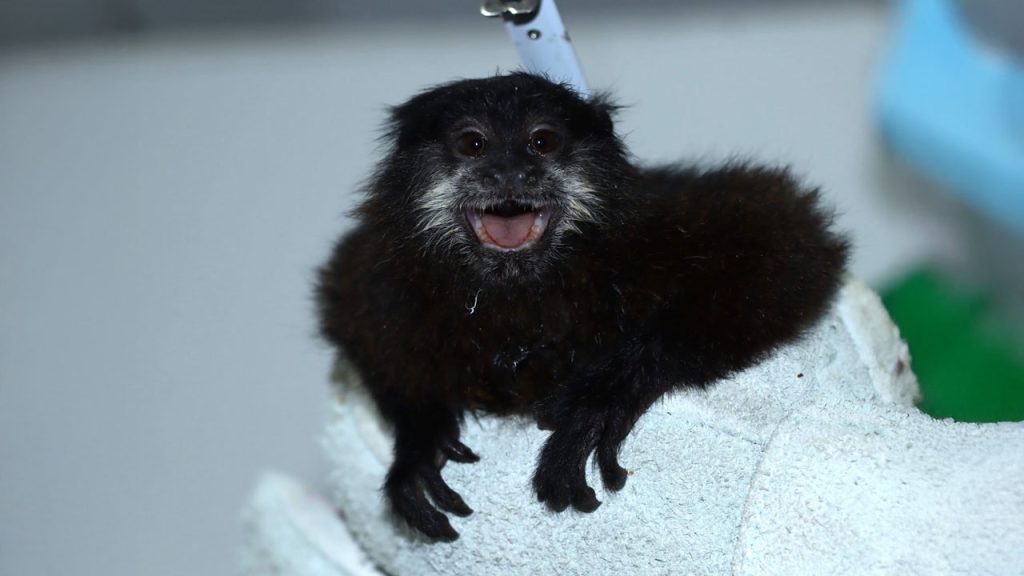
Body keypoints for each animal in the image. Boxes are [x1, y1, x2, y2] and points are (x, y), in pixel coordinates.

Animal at [316, 72, 850, 542]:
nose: (510, 173)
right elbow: (356, 320)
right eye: (473, 144)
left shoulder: (655, 228)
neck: (518, 296)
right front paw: (420, 436)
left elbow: (785, 245)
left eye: (542, 142)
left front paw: (602, 399)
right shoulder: (378, 277)